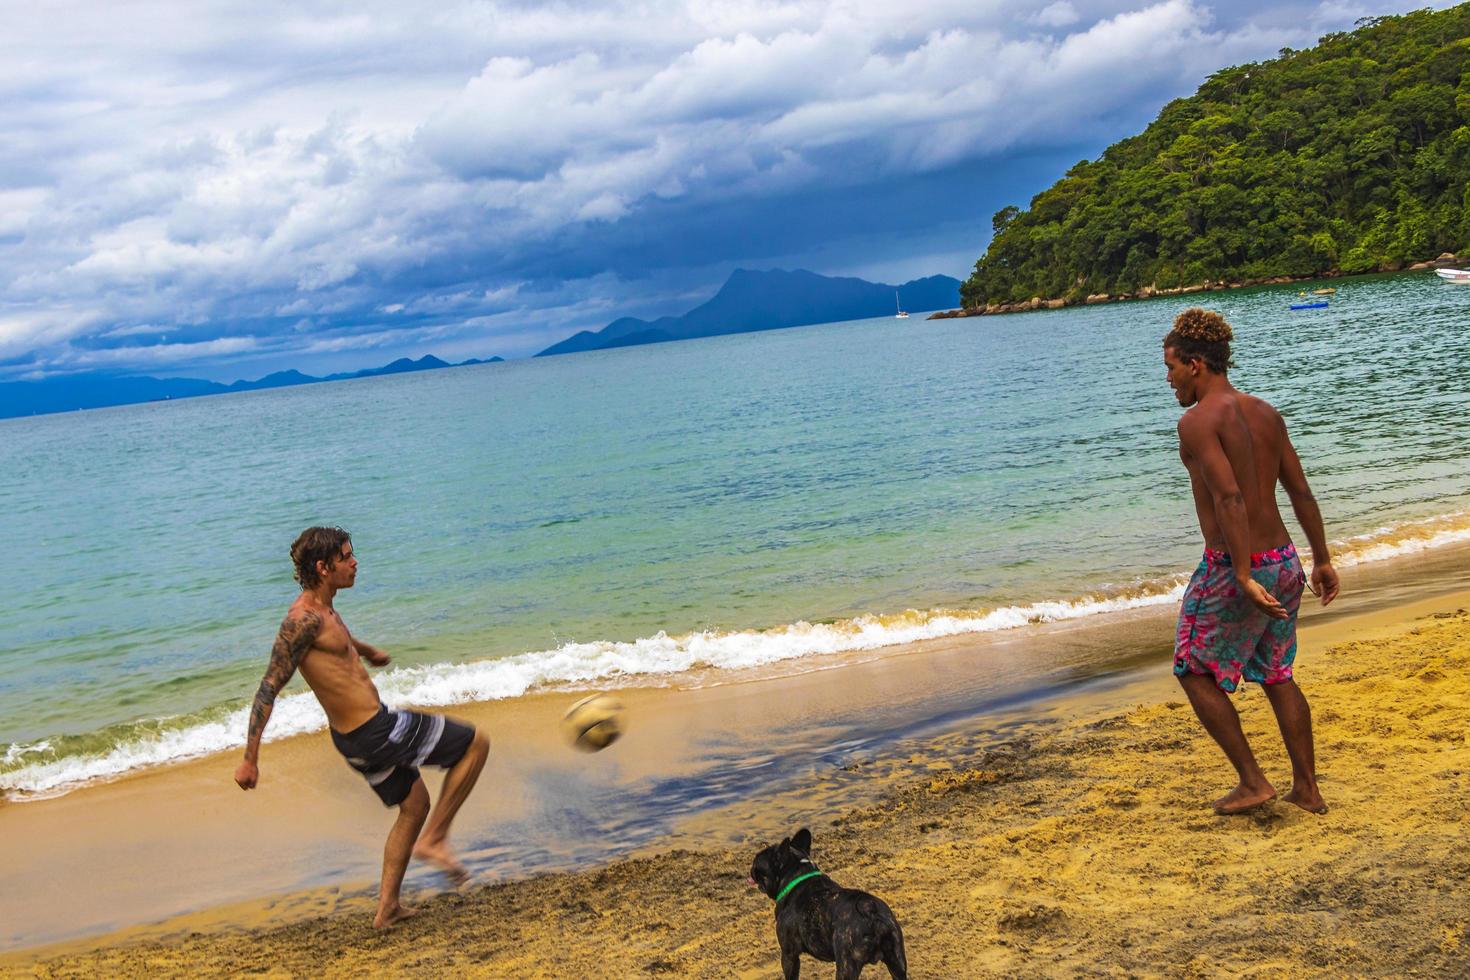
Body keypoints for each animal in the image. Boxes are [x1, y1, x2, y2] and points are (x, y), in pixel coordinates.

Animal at [758, 828, 905, 980]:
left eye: (757, 859)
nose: (752, 868)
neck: (798, 874)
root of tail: (869, 909)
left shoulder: (789, 955)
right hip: (897, 961)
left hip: (847, 964)